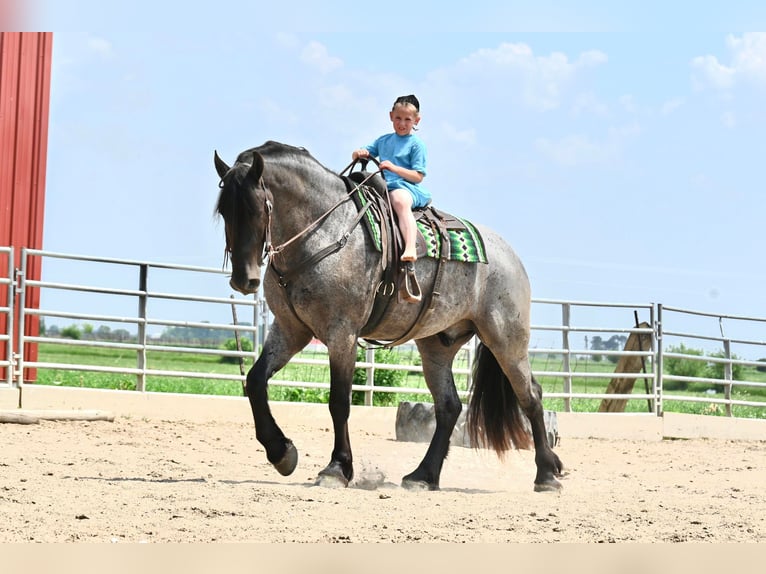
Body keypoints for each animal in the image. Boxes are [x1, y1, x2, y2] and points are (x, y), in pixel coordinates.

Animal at [214, 141, 564, 496]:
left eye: (258, 209)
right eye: (225, 211)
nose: (244, 280)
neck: (324, 232)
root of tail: (508, 255)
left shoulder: (342, 334)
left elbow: (339, 402)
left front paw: (337, 468)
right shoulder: (290, 330)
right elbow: (255, 381)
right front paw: (281, 452)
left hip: (506, 339)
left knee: (530, 397)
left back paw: (547, 475)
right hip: (437, 345)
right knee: (449, 406)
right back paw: (423, 475)